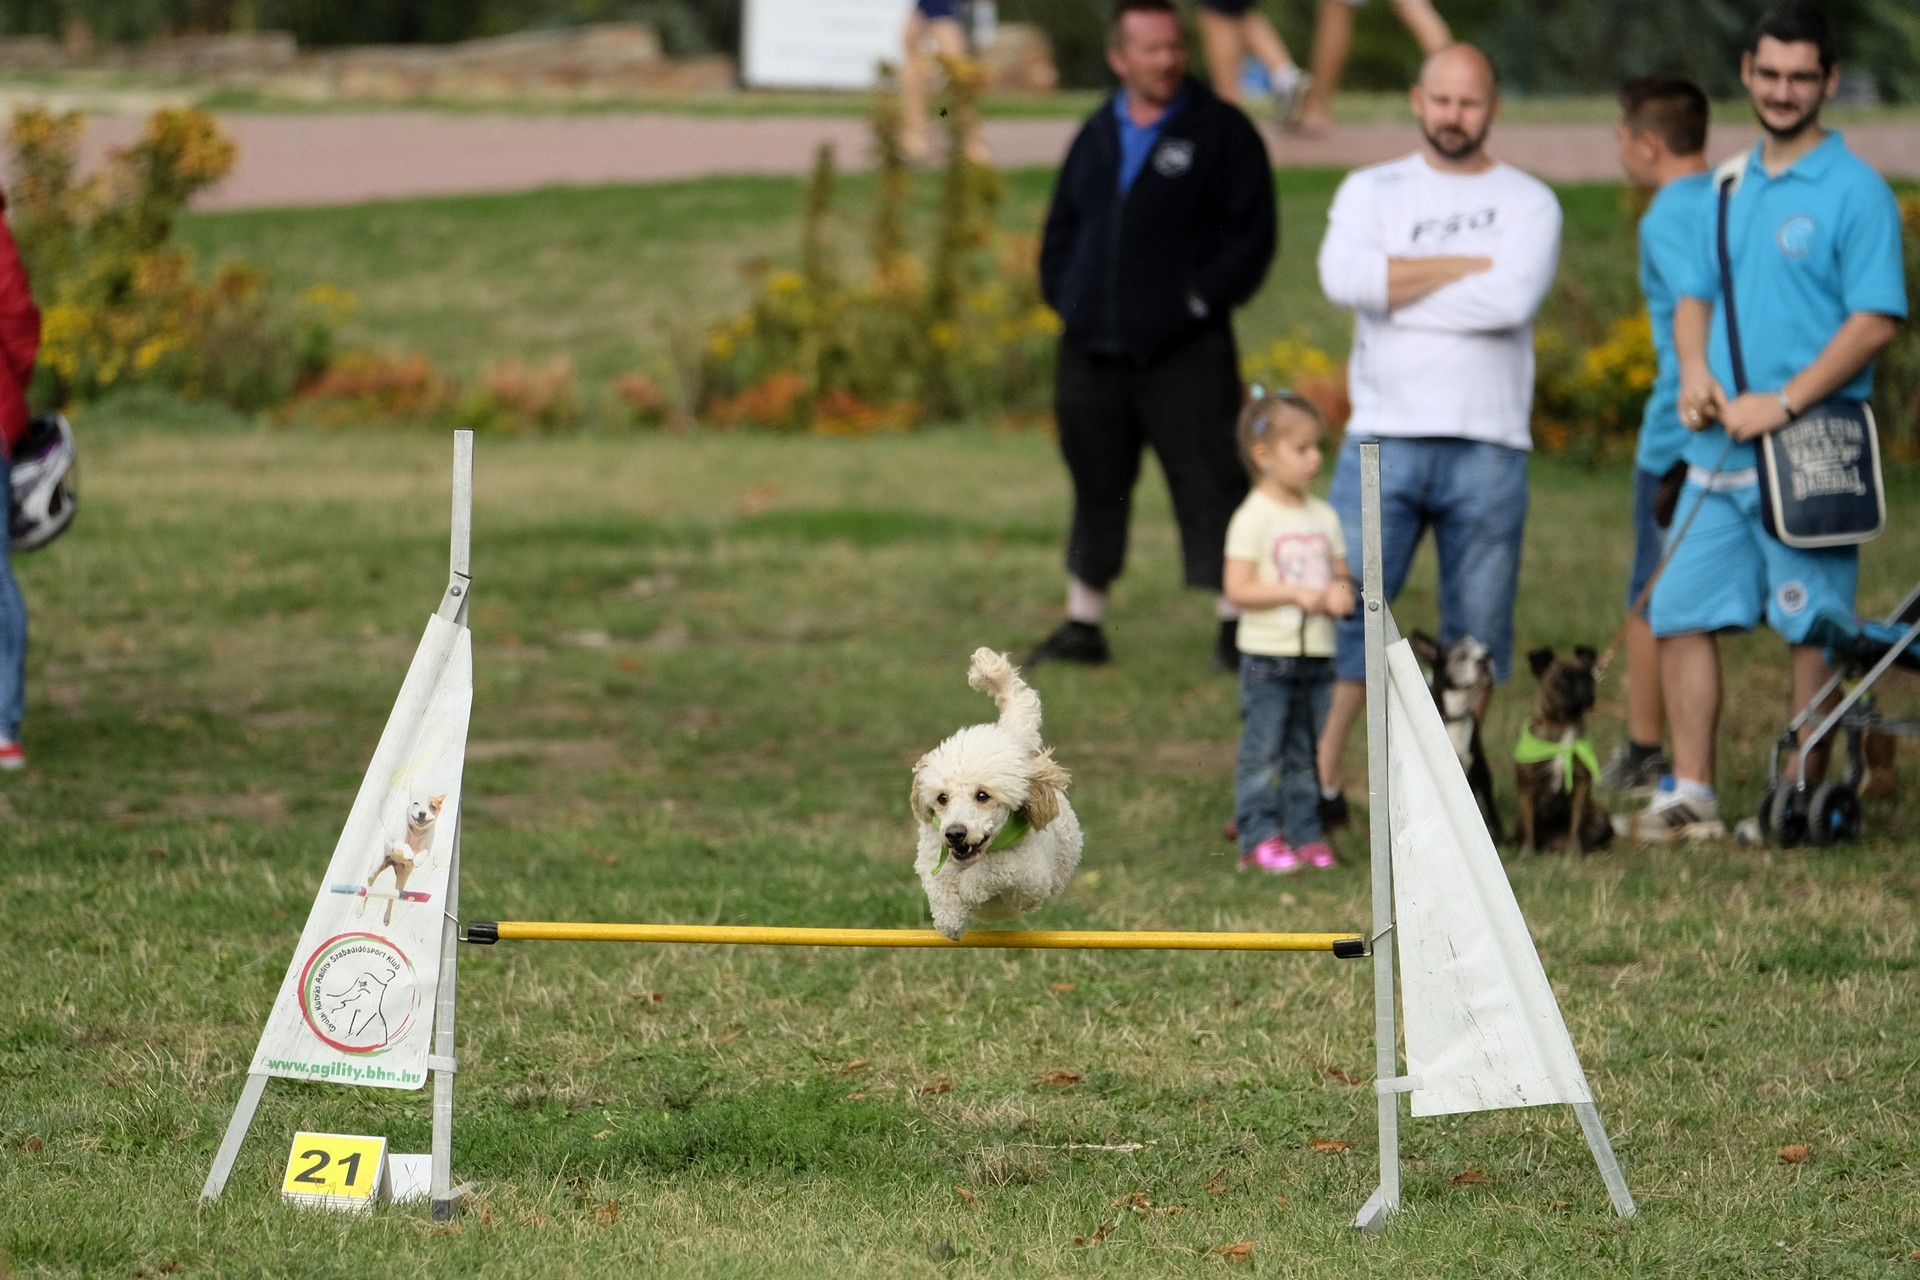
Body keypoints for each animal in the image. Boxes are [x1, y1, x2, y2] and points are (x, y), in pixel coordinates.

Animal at [363, 792, 445, 925]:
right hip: (374, 871)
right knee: (367, 889)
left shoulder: (427, 849)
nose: (422, 813)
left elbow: (424, 853)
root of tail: (392, 863)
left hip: (401, 881)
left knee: (392, 896)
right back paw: (359, 910)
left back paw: (387, 917)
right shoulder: (398, 844)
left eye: (432, 806)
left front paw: (417, 860)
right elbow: (405, 846)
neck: (417, 832)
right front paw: (410, 854)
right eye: (416, 803)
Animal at [911, 648, 1082, 941]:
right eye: (942, 798)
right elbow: (939, 883)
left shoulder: (1032, 877)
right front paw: (950, 919)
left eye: (983, 796)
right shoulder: (931, 853)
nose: (954, 833)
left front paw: (969, 888)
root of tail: (1010, 737)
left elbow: (997, 867)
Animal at [1409, 631, 1503, 843]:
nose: (1485, 658)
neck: (1453, 715)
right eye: (1461, 657)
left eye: (1487, 651)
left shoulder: (1470, 766)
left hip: (1481, 768)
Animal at [1513, 646, 1612, 854]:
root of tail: (1555, 847)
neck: (1562, 724)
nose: (1583, 685)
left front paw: (1575, 849)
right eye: (1562, 681)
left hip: (1601, 817)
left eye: (1588, 677)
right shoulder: (1526, 787)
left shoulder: (1581, 784)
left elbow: (1577, 820)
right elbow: (1529, 823)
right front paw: (1527, 851)